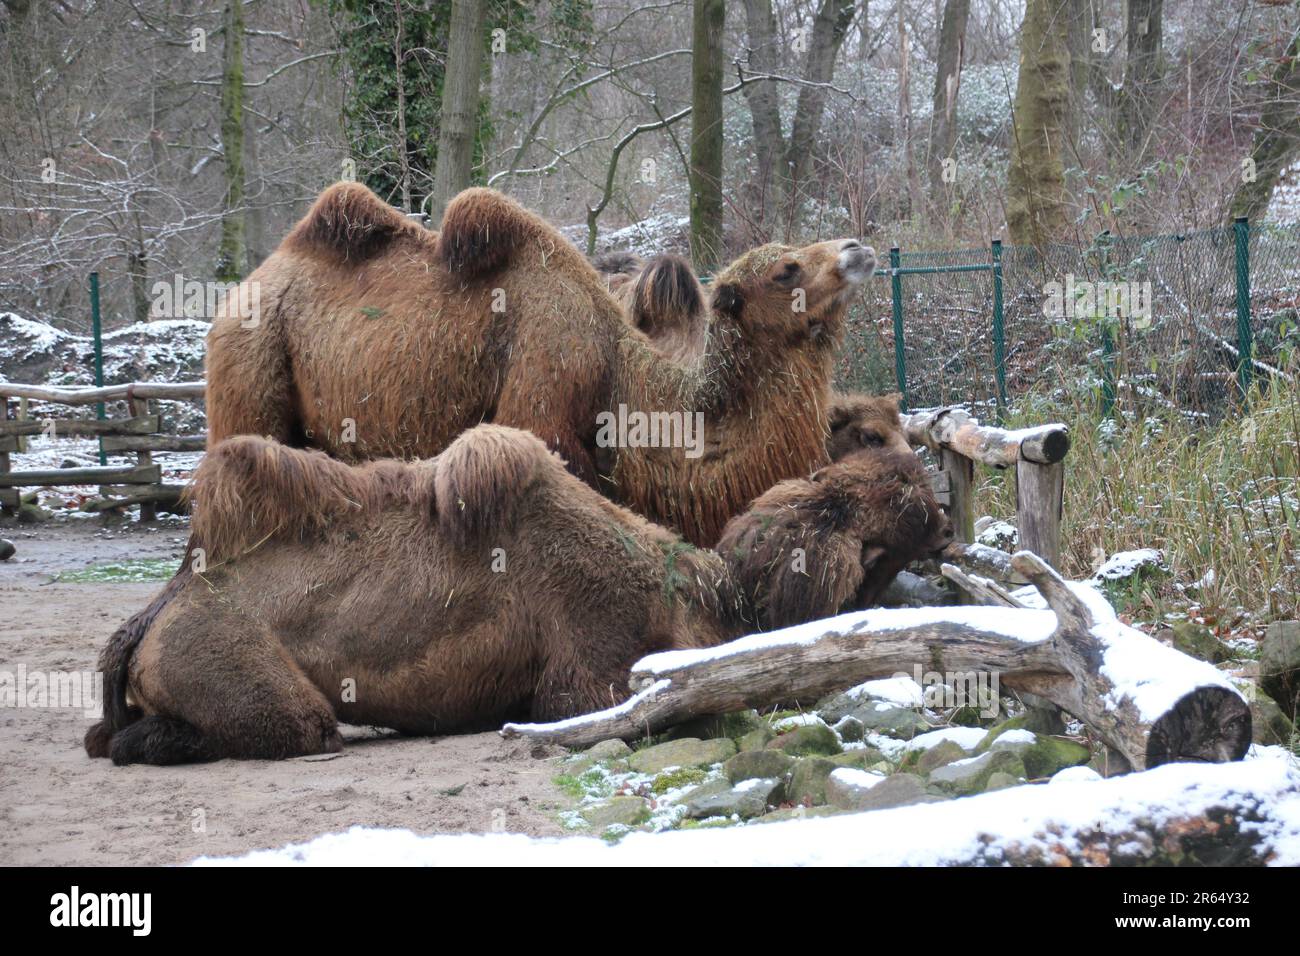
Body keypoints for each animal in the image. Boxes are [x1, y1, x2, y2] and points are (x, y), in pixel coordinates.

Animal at [84, 425, 952, 765]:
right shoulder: (587, 668)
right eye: (894, 498)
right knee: (290, 725)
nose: (942, 512)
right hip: (247, 675)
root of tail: (153, 614)